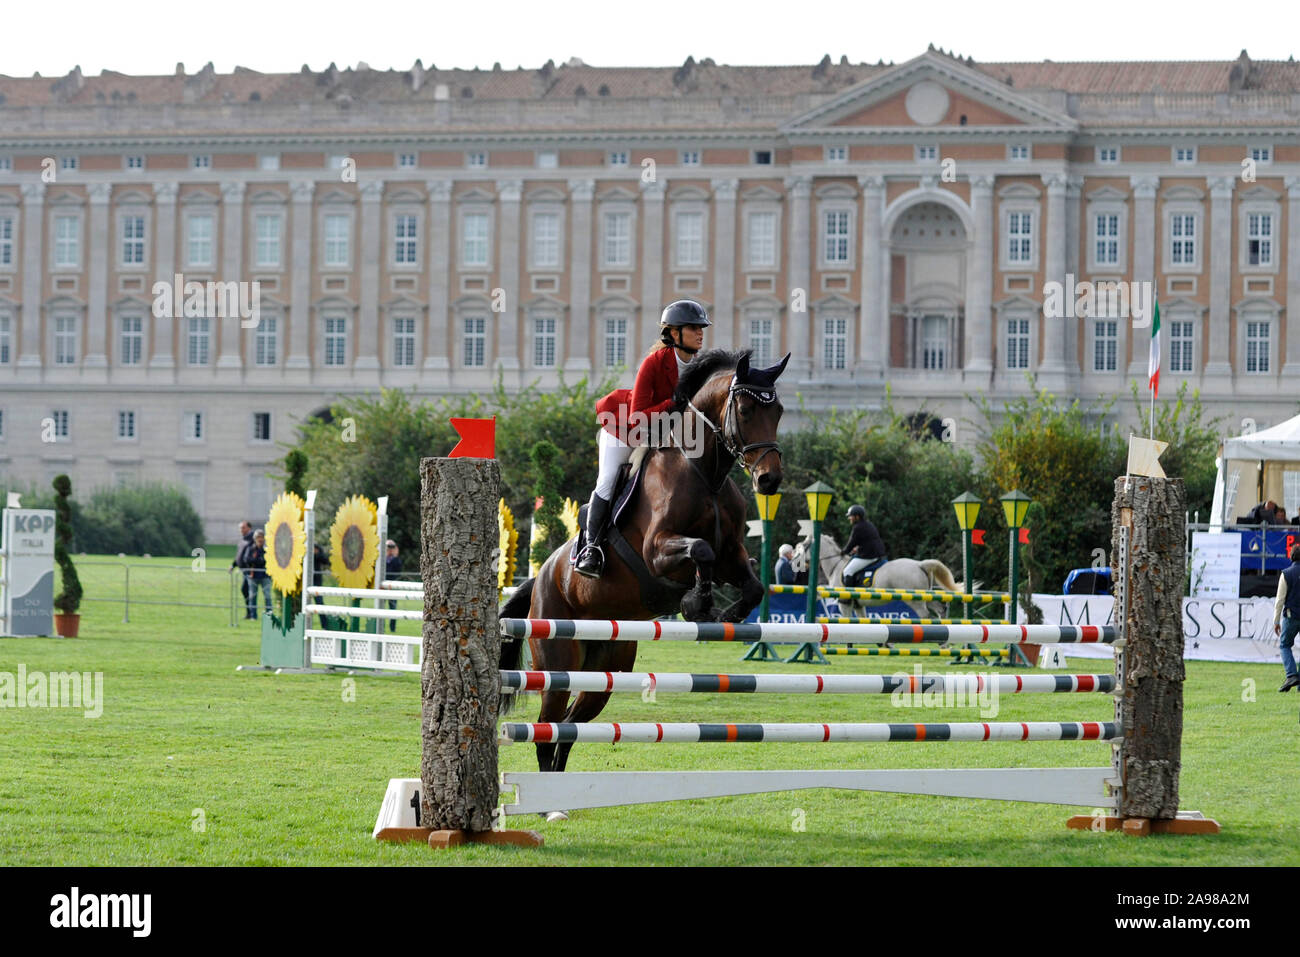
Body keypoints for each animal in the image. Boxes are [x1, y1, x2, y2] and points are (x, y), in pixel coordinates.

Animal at [496, 348, 780, 790]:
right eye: (747, 410)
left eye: (779, 411)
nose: (770, 480)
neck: (706, 475)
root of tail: (542, 576)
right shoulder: (657, 550)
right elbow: (701, 551)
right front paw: (697, 605)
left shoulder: (731, 553)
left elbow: (752, 585)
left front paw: (726, 614)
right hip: (556, 659)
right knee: (547, 729)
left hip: (605, 669)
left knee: (569, 728)